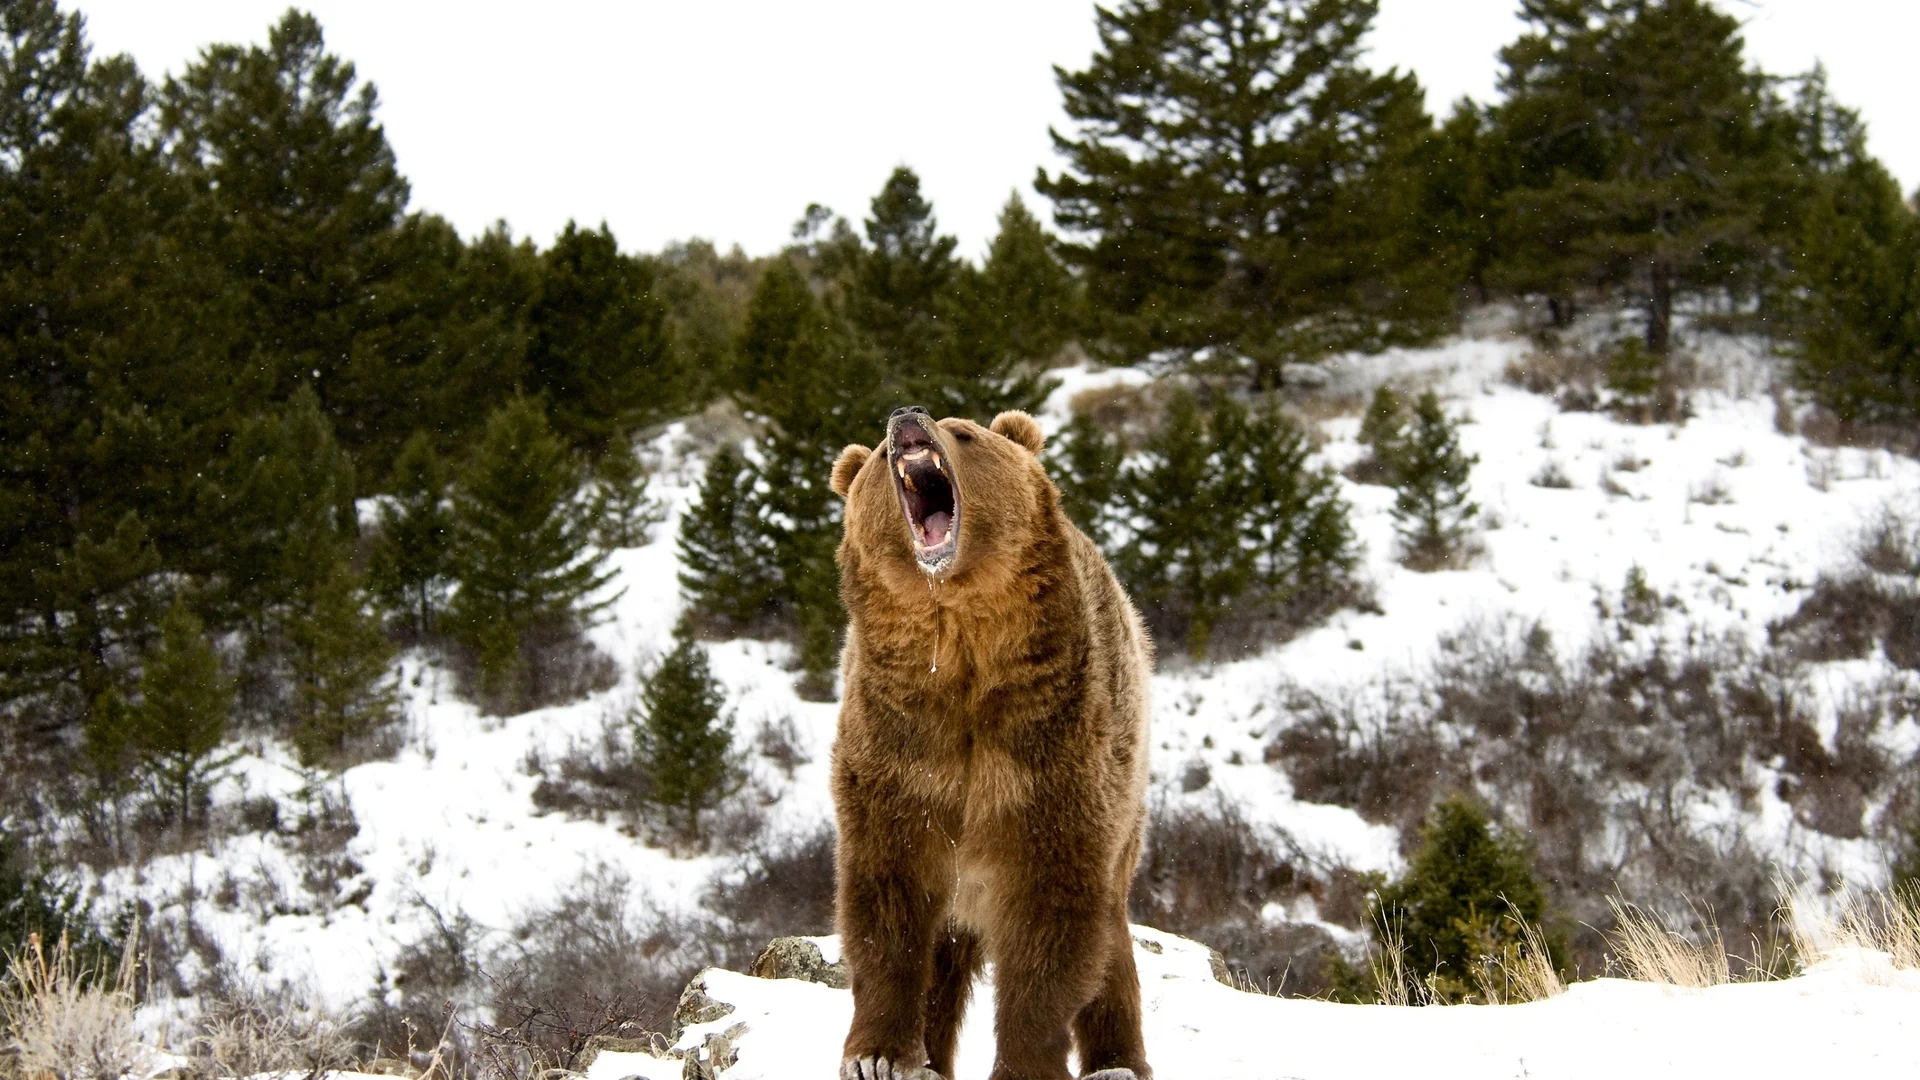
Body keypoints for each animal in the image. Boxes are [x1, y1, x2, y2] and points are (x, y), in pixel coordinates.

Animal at [829, 403, 1152, 1076]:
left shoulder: (1050, 753)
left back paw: (1117, 1060)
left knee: (1110, 937)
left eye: (965, 433)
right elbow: (886, 901)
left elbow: (1052, 922)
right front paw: (879, 1054)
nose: (906, 416)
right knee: (945, 957)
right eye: (876, 454)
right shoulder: (900, 748)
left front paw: (1025, 1061)